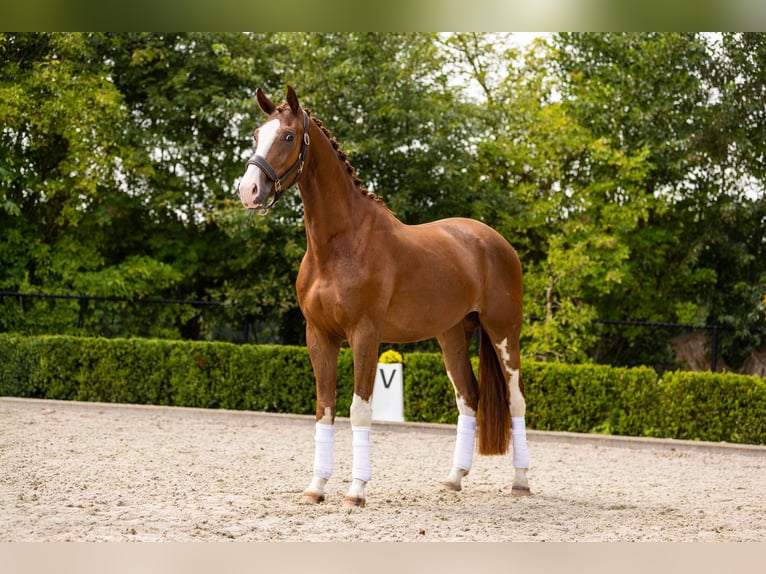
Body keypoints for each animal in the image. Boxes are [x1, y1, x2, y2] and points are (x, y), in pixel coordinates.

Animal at [237, 86, 530, 507]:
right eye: (256, 134)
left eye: (289, 136)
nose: (249, 191)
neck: (339, 245)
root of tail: (494, 241)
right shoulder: (318, 335)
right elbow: (324, 409)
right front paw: (316, 487)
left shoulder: (365, 335)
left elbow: (359, 410)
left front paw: (356, 492)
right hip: (452, 336)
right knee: (468, 398)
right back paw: (453, 478)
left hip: (504, 332)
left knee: (515, 399)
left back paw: (521, 481)